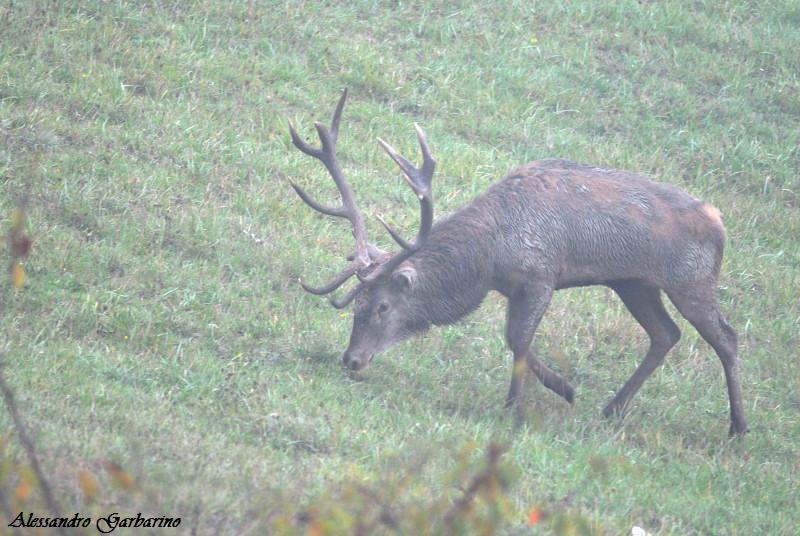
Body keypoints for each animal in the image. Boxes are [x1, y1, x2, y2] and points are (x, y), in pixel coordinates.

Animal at [284, 90, 748, 438]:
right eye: (356, 306)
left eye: (382, 306)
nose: (351, 360)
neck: (488, 257)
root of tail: (720, 221)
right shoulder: (513, 287)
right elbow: (517, 340)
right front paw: (561, 390)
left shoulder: (541, 274)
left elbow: (518, 340)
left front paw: (524, 407)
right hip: (633, 282)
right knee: (666, 334)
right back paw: (613, 408)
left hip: (691, 278)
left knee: (725, 337)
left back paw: (738, 427)